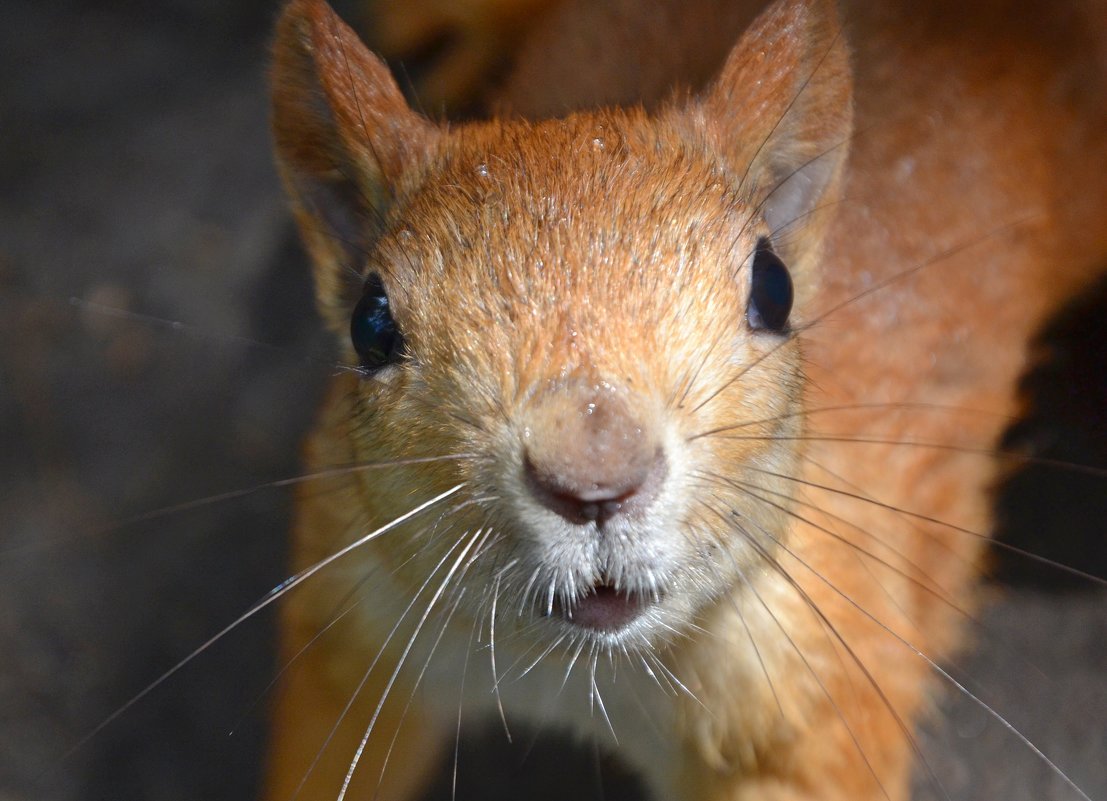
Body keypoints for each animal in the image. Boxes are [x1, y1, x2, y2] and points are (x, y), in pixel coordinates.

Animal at [261, 1, 1107, 801]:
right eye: (370, 324)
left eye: (774, 287)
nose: (595, 473)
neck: (577, 669)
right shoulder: (351, 612)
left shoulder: (823, 673)